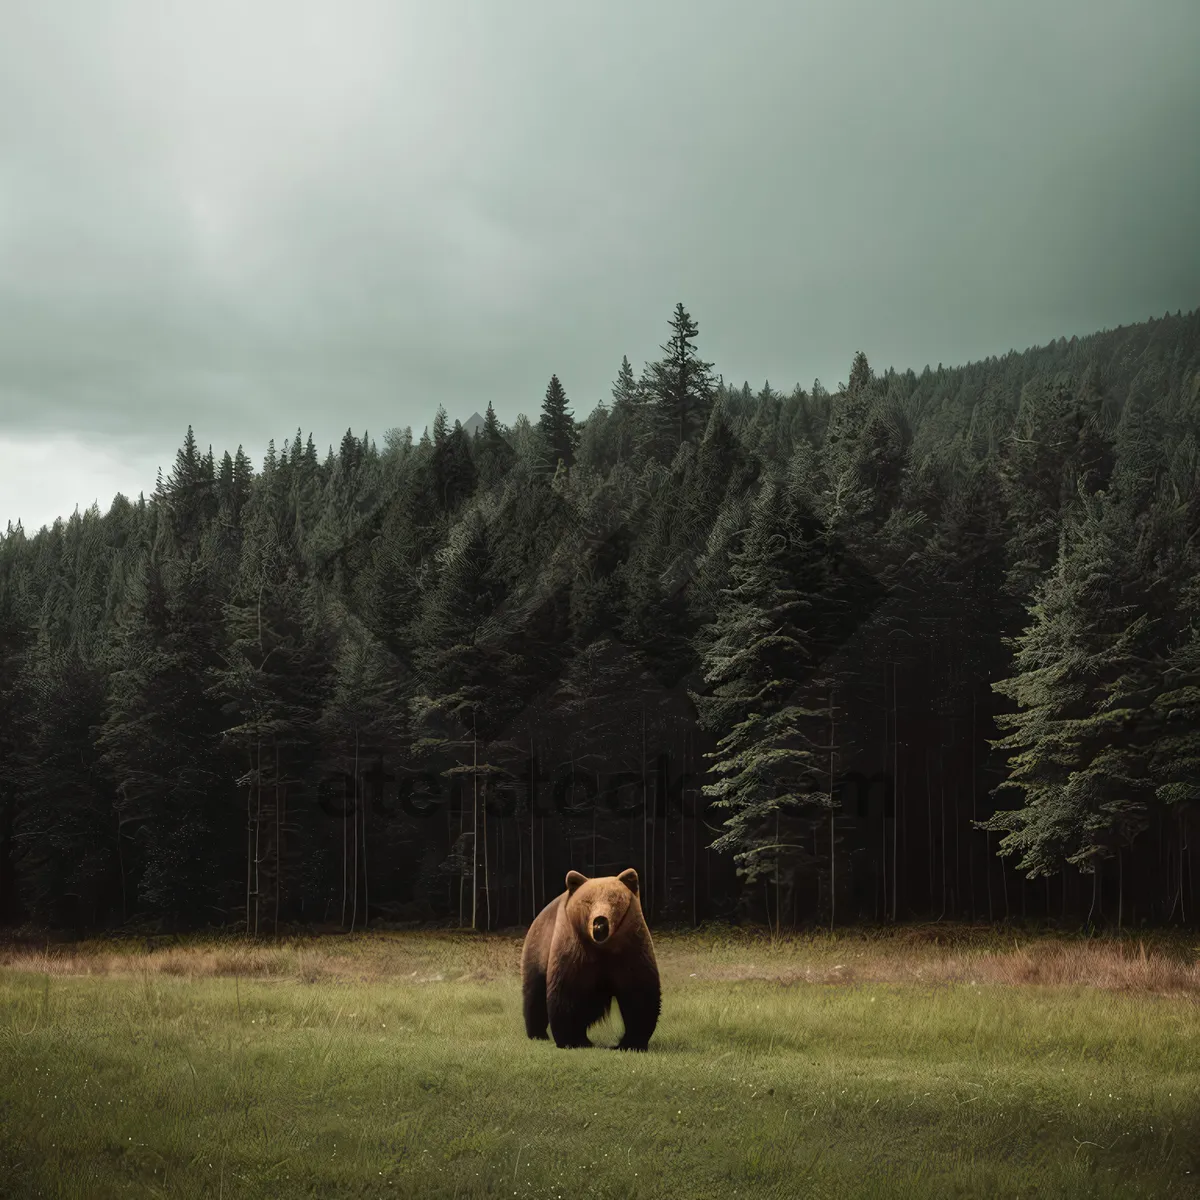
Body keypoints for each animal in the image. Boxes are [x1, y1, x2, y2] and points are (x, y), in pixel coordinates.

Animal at [520, 873, 662, 1051]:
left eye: (614, 900)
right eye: (588, 901)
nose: (600, 922)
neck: (602, 948)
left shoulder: (630, 947)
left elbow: (639, 993)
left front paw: (631, 1043)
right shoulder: (574, 950)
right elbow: (567, 993)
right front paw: (571, 1040)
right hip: (538, 950)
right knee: (534, 994)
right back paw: (538, 1034)